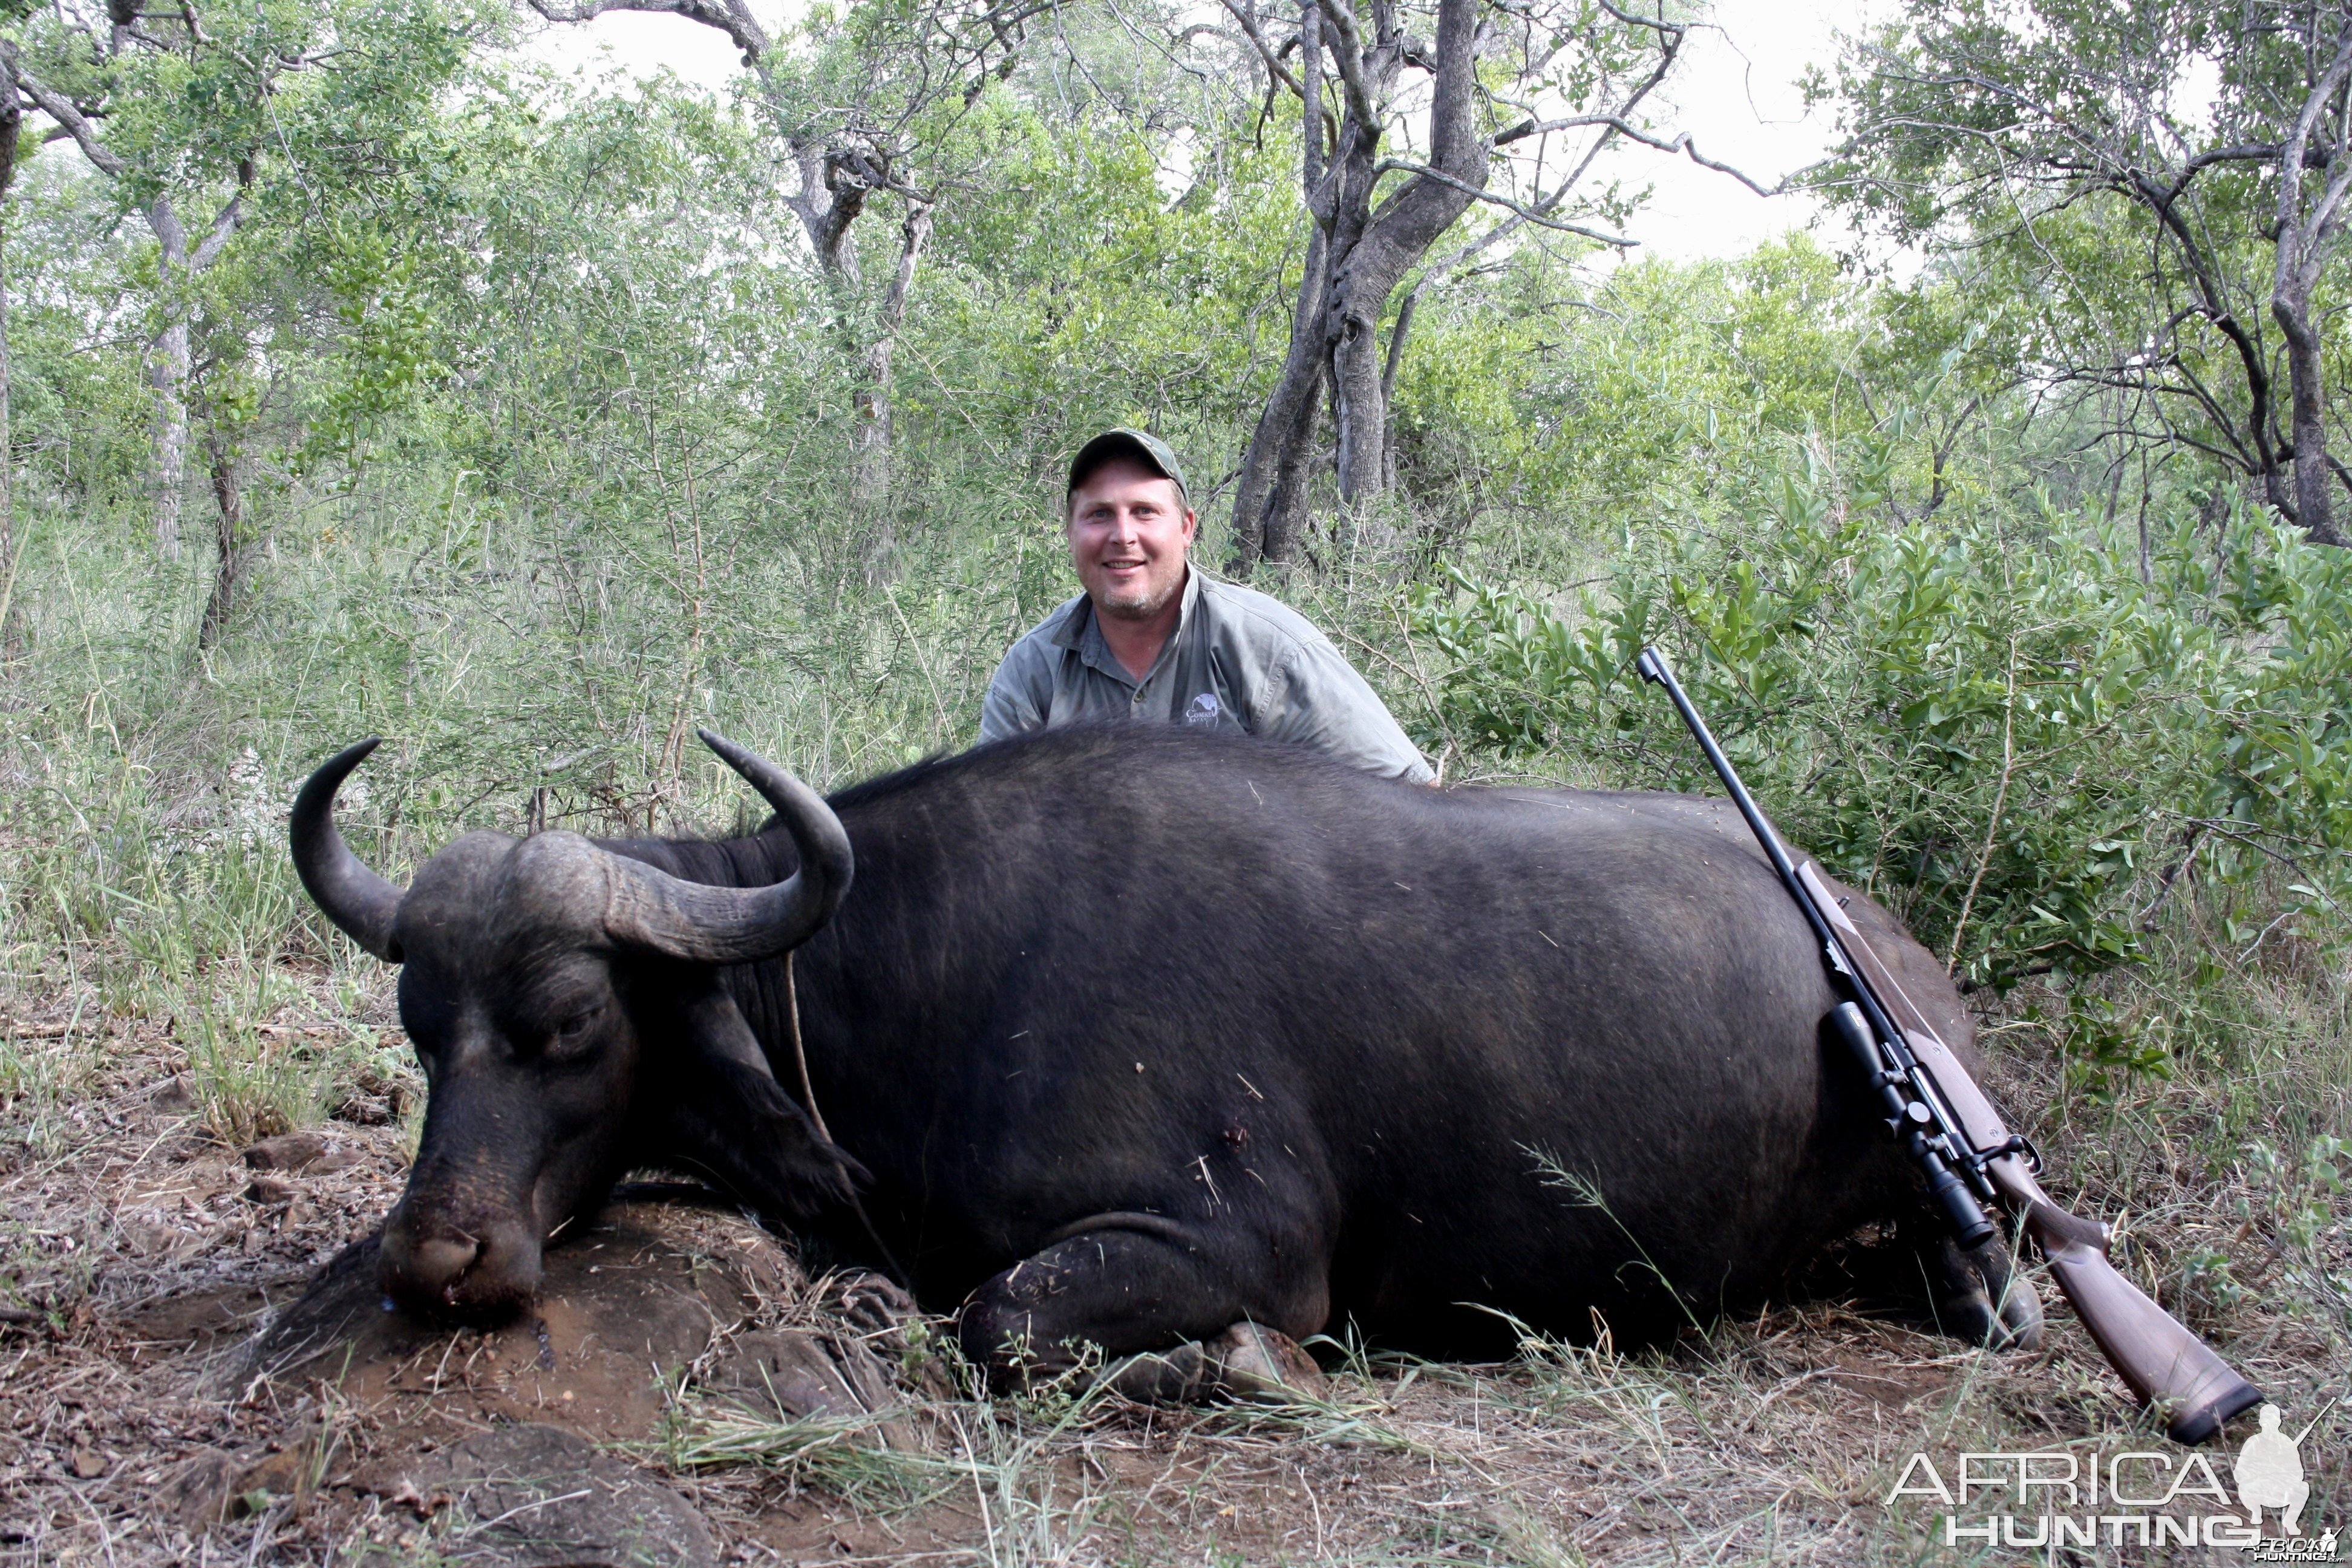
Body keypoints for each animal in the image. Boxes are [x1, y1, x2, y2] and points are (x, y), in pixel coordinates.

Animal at [289, 724, 2041, 1401]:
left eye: (571, 1024)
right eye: (420, 1028)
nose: (437, 1258)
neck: (932, 979)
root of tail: (1905, 960)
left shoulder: (1236, 1247)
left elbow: (998, 1324)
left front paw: (1236, 1370)